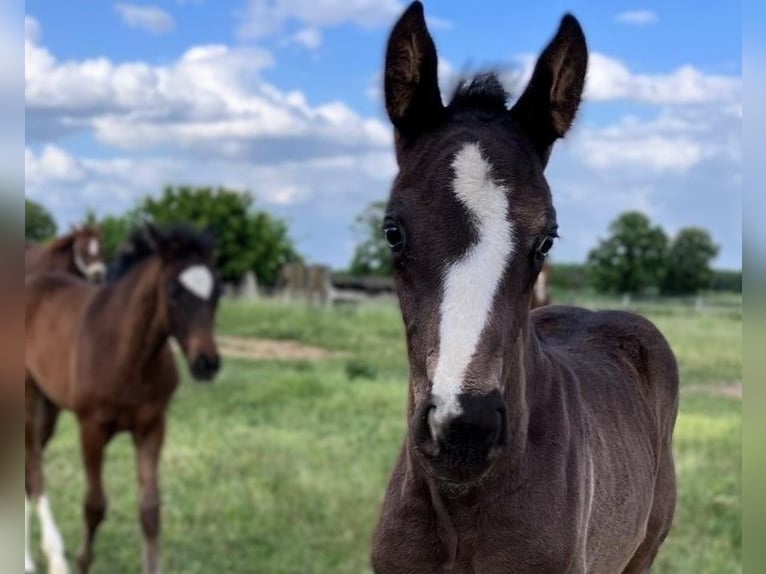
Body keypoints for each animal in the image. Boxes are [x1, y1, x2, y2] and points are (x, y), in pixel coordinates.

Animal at [25, 223, 222, 574]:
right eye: (173, 291)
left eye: (218, 293)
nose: (207, 363)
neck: (127, 354)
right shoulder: (91, 428)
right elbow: (94, 504)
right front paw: (82, 562)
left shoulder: (152, 427)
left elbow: (150, 509)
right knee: (31, 471)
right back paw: (51, 558)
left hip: (48, 406)